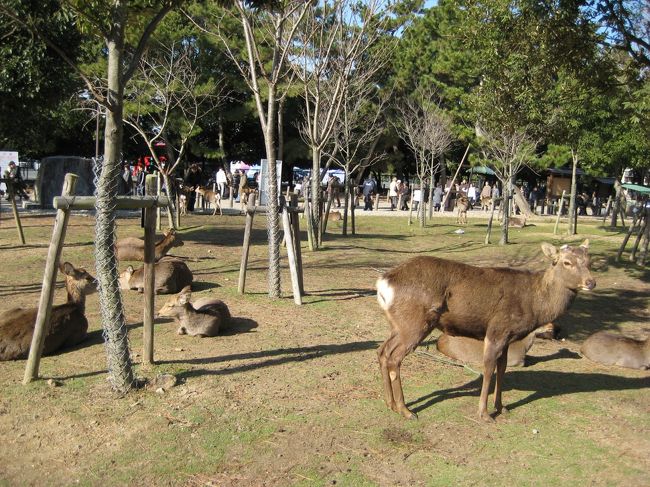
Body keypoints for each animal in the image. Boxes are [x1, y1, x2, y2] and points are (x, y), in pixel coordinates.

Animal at [376, 240, 595, 422]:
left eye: (589, 261)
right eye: (566, 262)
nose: (591, 282)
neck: (535, 304)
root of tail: (384, 282)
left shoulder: (508, 337)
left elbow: (502, 368)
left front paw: (502, 407)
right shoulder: (497, 329)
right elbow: (488, 368)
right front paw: (484, 413)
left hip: (398, 325)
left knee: (382, 351)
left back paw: (390, 403)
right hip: (415, 323)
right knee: (395, 358)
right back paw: (406, 410)